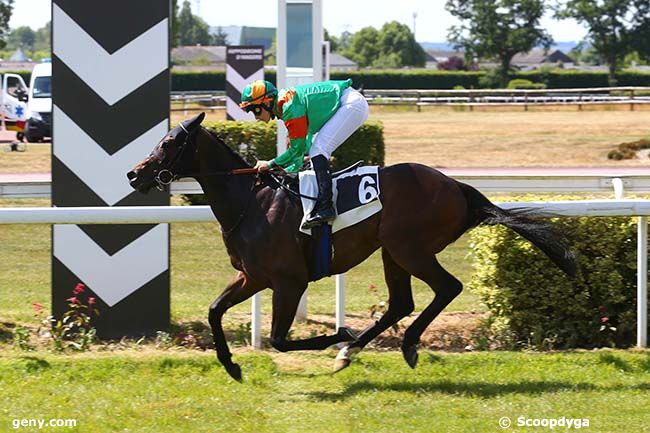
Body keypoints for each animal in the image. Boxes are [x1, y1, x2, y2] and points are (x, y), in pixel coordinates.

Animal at [129, 113, 576, 380]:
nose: (135, 174)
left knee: (447, 288)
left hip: (409, 247)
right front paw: (232, 366)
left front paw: (338, 333)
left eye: (168, 144)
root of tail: (457, 187)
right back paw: (353, 351)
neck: (252, 202)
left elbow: (279, 339)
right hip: (392, 251)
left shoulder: (289, 282)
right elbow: (214, 310)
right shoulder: (252, 277)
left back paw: (393, 345)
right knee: (401, 303)